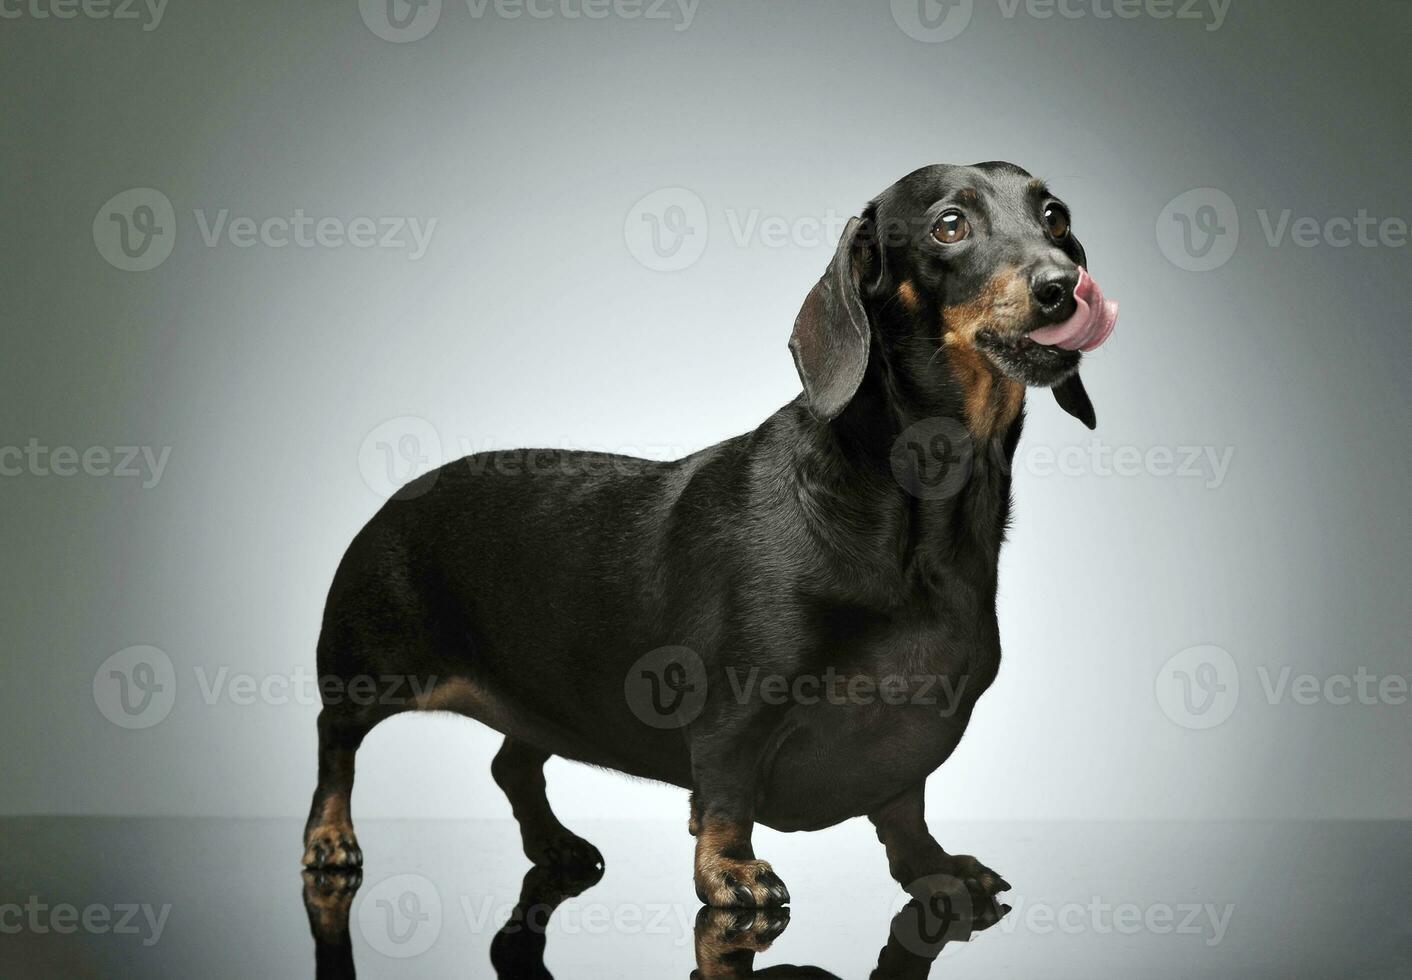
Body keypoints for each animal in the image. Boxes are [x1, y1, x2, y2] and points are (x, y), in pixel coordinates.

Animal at [303, 163, 1118, 915]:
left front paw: (934, 866)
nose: (1065, 286)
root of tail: (402, 494)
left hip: (540, 692)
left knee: (514, 766)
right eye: (951, 224)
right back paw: (330, 838)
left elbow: (904, 805)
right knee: (334, 742)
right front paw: (730, 872)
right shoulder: (735, 714)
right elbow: (727, 796)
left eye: (1055, 216)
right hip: (369, 667)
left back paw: (555, 844)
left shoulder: (911, 730)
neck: (919, 519)